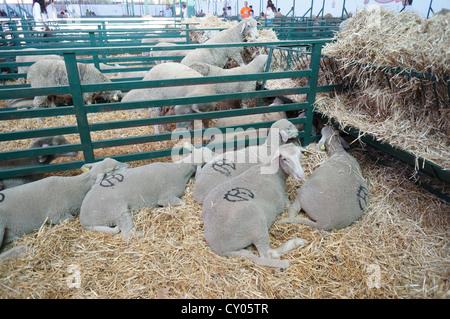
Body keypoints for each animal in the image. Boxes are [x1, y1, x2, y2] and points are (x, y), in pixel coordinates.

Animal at [0, 159, 130, 262]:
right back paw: (19, 250)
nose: (128, 166)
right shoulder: (56, 214)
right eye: (113, 169)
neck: (72, 187)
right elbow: (68, 218)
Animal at [80, 146, 215, 239]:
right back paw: (142, 233)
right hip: (115, 209)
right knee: (127, 233)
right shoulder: (167, 196)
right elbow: (181, 202)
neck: (180, 170)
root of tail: (84, 219)